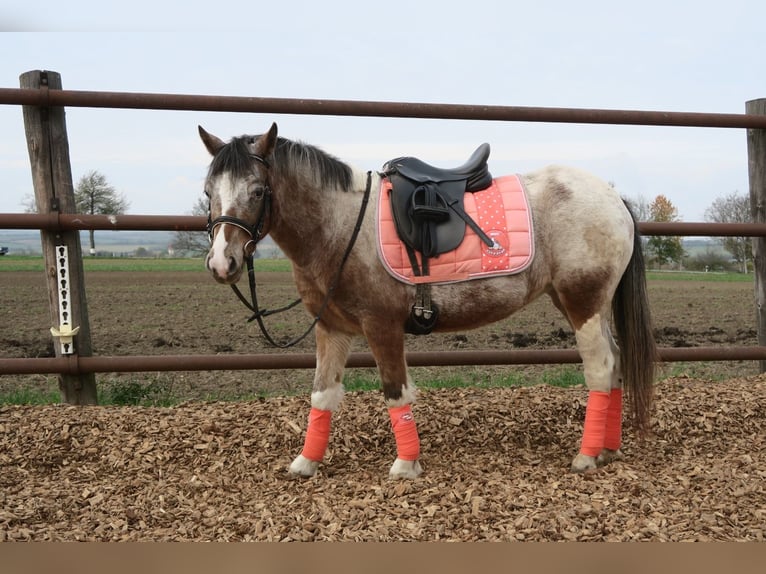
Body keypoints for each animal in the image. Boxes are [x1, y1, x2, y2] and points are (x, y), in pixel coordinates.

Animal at [200, 124, 660, 480]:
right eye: (208, 192)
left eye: (258, 190)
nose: (222, 263)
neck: (340, 223)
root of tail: (614, 198)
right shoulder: (332, 329)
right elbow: (322, 396)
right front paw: (305, 462)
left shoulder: (381, 326)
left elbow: (395, 392)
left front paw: (406, 465)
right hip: (583, 304)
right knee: (616, 364)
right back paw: (609, 449)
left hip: (583, 301)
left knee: (600, 369)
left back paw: (586, 456)